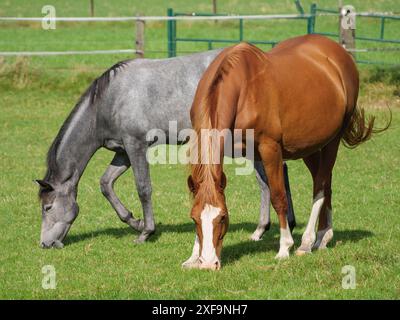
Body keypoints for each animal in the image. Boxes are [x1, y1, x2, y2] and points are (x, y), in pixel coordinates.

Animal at [36, 48, 294, 249]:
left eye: (47, 207)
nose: (45, 244)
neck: (109, 101)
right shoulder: (123, 152)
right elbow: (106, 184)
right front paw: (134, 221)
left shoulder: (136, 146)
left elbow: (143, 188)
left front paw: (145, 232)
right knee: (270, 178)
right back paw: (268, 228)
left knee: (270, 177)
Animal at [186, 34, 390, 270]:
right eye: (194, 219)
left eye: (223, 217)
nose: (209, 264)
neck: (243, 88)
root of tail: (339, 54)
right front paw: (193, 257)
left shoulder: (270, 149)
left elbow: (278, 196)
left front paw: (284, 247)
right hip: (310, 147)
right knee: (325, 182)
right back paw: (324, 237)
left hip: (332, 141)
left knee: (320, 187)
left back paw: (308, 242)